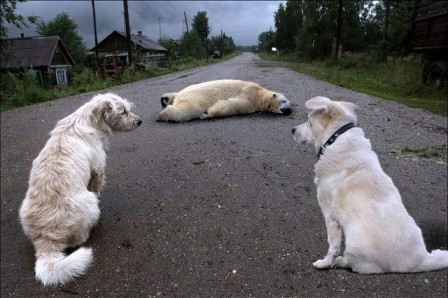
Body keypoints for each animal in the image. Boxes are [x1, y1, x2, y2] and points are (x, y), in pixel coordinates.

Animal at [18, 93, 142, 286]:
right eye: (123, 112)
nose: (139, 121)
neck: (87, 121)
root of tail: (46, 239)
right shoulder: (98, 170)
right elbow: (96, 189)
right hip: (89, 205)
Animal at [156, 79, 292, 122]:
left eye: (290, 103)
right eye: (284, 101)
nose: (289, 110)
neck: (261, 94)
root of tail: (180, 94)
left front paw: (207, 114)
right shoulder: (249, 95)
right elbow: (235, 105)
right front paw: (207, 113)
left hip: (181, 92)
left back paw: (165, 99)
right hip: (194, 98)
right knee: (188, 110)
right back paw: (162, 115)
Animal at [290, 96, 448, 274]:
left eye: (309, 122)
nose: (292, 130)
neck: (336, 138)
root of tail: (419, 260)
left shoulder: (330, 215)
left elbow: (333, 245)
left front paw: (325, 263)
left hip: (355, 245)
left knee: (359, 265)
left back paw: (339, 261)